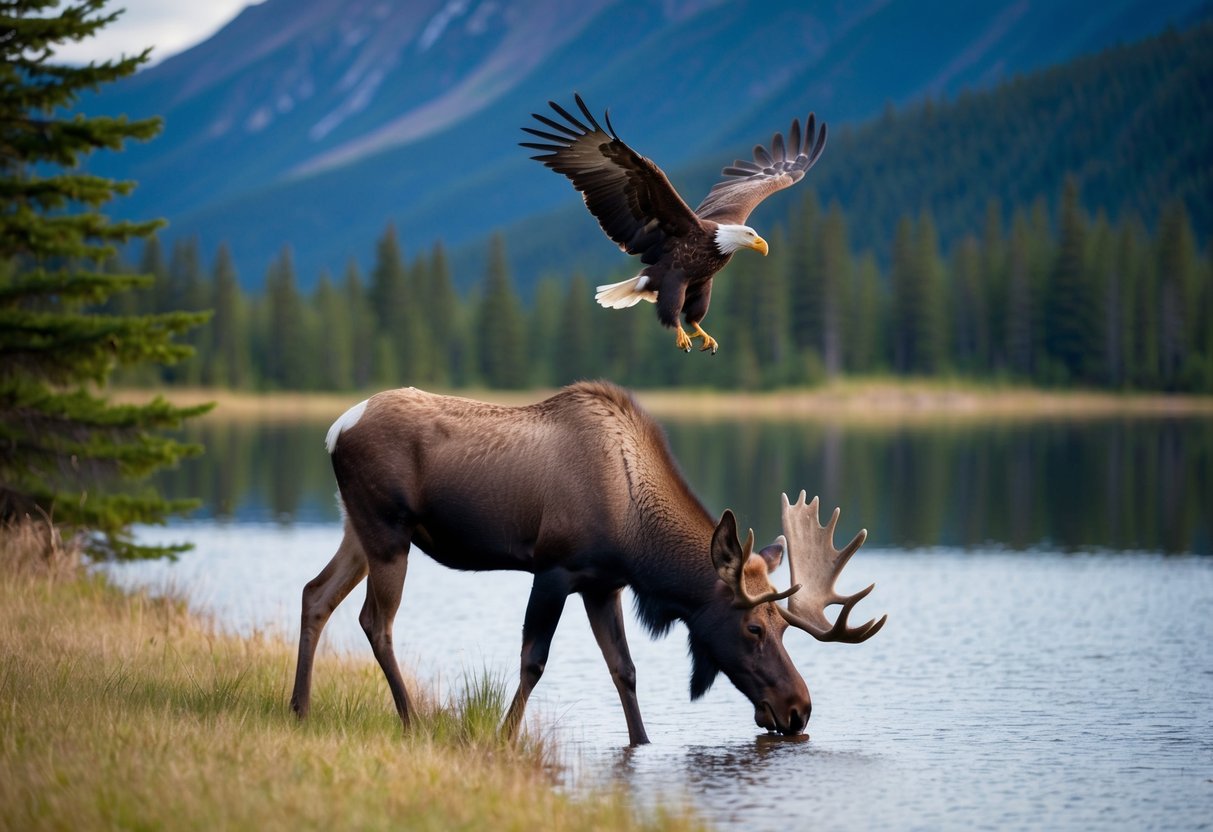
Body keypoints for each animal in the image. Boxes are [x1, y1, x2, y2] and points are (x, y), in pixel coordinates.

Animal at [290, 381, 885, 745]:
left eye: (784, 627)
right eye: (755, 627)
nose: (799, 708)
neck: (636, 540)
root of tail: (333, 431)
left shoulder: (604, 585)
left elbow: (624, 669)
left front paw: (643, 741)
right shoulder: (555, 569)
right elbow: (533, 660)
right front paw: (505, 735)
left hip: (358, 529)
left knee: (314, 594)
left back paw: (299, 708)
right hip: (388, 532)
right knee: (375, 621)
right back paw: (411, 721)